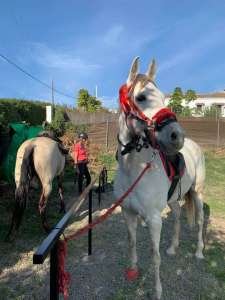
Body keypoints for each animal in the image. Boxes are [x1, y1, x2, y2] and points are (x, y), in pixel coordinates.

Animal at [115, 57, 205, 298]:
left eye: (164, 98)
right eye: (140, 98)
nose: (177, 136)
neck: (133, 169)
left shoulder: (154, 220)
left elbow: (155, 258)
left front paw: (157, 291)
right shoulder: (128, 213)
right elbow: (131, 242)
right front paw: (133, 271)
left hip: (197, 193)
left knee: (200, 219)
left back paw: (200, 252)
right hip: (174, 200)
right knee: (177, 218)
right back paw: (173, 247)